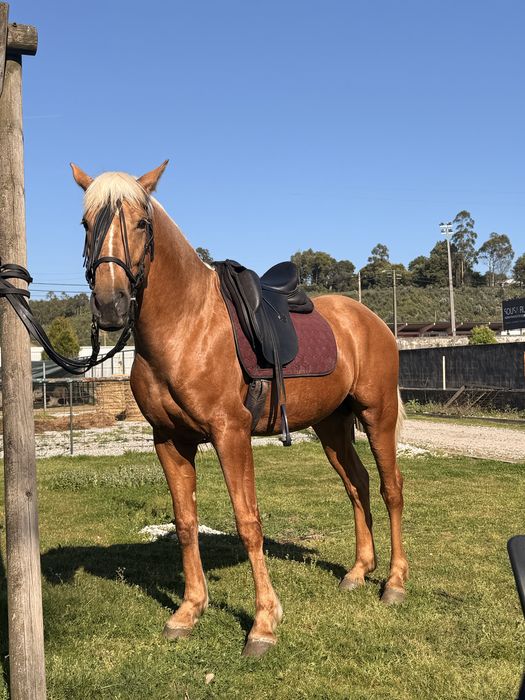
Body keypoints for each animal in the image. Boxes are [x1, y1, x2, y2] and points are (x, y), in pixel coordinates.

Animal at [70, 161, 408, 658]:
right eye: (86, 223)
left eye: (143, 223)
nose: (110, 305)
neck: (185, 326)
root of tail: (372, 321)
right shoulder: (169, 440)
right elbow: (185, 522)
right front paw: (189, 611)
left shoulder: (230, 433)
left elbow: (248, 522)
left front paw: (264, 623)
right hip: (331, 426)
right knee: (357, 484)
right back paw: (358, 571)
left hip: (377, 416)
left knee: (390, 488)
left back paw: (395, 582)